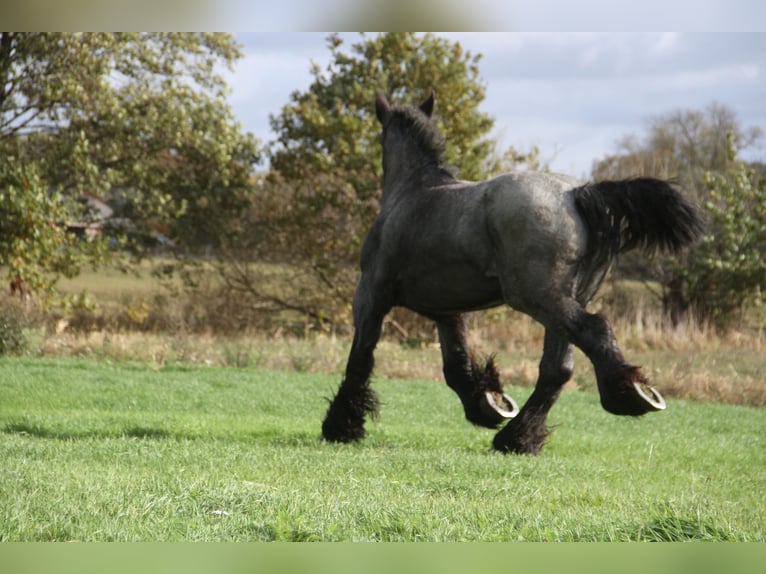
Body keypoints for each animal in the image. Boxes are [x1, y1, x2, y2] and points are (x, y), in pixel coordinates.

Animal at [321, 91, 704, 454]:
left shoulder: (371, 297)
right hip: (566, 301)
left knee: (595, 332)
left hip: (538, 298)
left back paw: (626, 396)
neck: (414, 190)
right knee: (557, 368)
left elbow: (360, 359)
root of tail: (576, 194)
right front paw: (487, 404)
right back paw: (519, 438)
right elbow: (456, 365)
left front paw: (342, 426)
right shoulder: (447, 311)